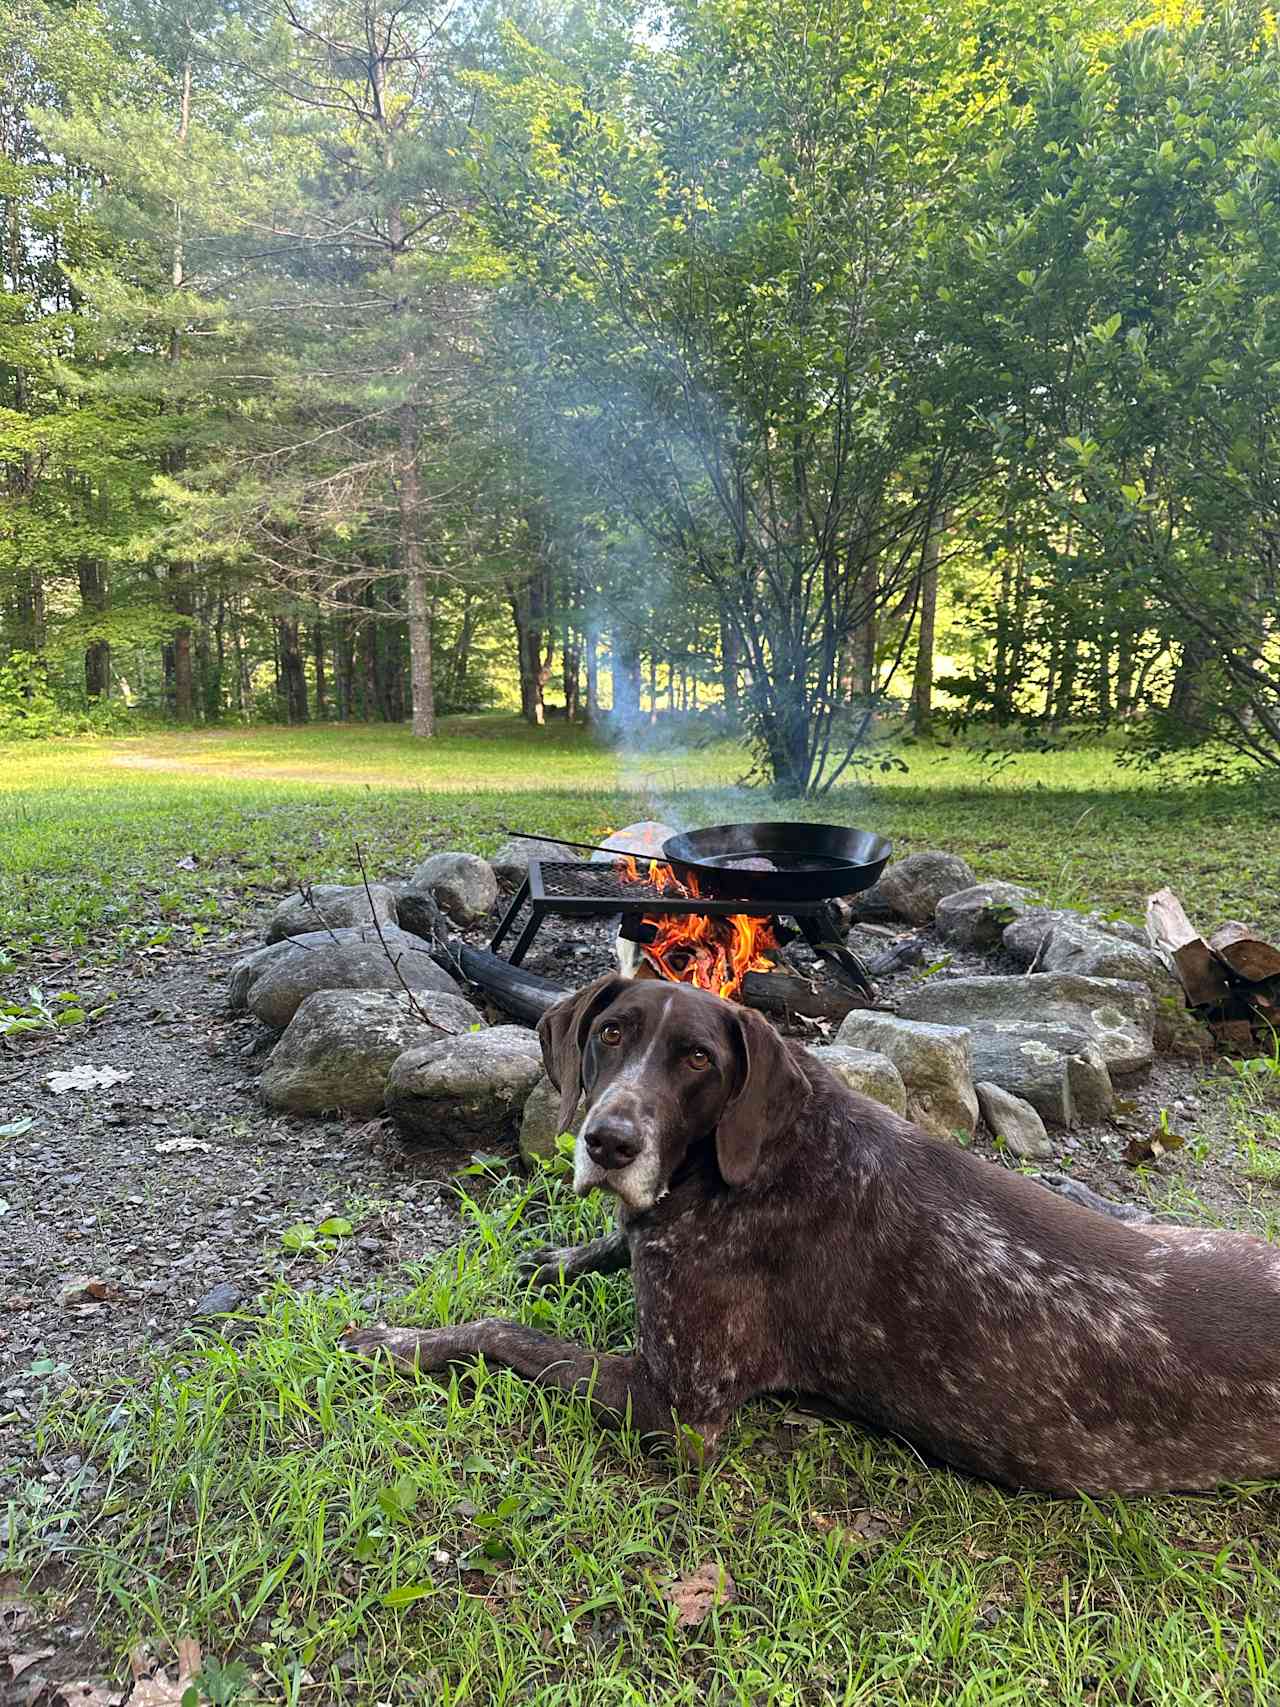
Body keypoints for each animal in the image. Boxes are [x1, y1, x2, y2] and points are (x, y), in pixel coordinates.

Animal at [343, 976, 1280, 1495]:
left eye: (698, 1059)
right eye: (611, 1033)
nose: (609, 1142)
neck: (745, 1161)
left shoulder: (679, 1407)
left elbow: (505, 1335)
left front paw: (398, 1341)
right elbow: (605, 1246)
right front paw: (571, 1253)